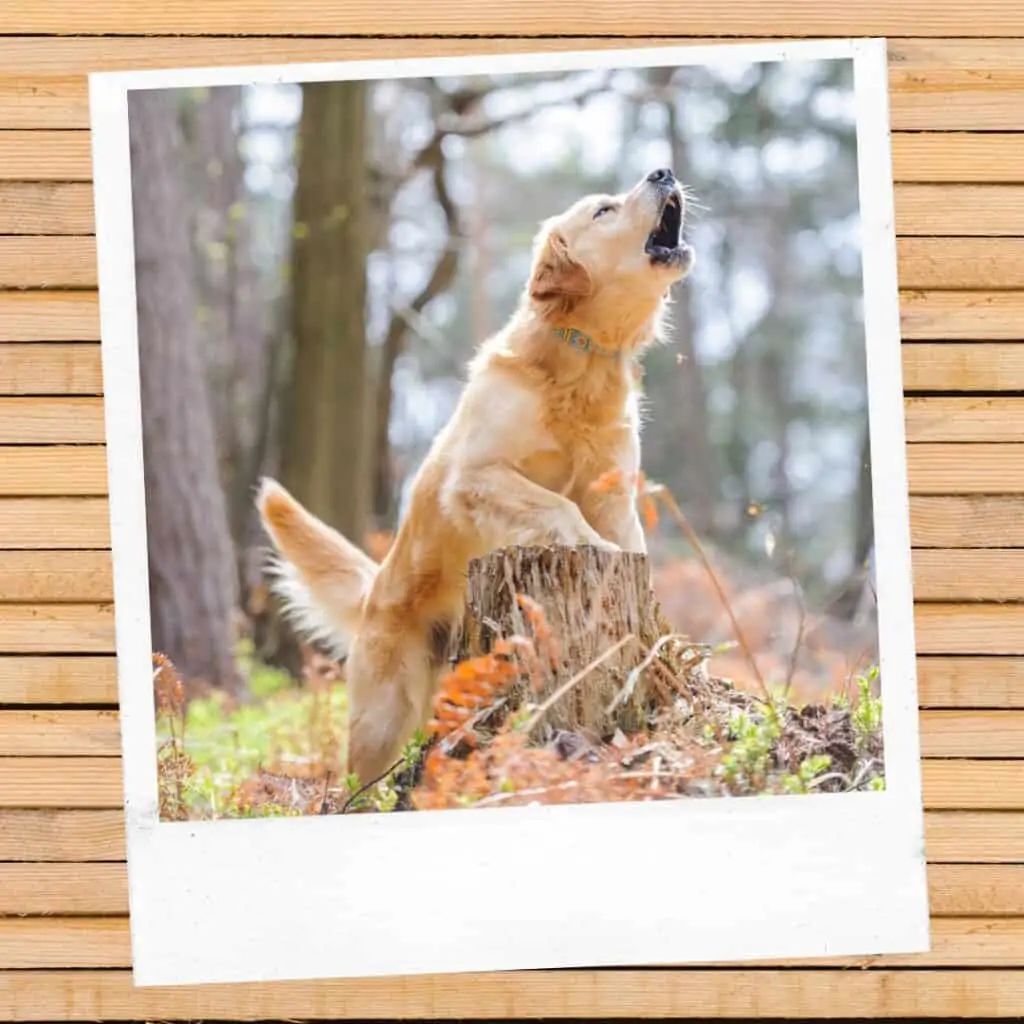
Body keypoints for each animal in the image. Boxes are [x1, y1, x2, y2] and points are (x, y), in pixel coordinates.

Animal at [258, 165, 696, 782]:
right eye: (604, 210)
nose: (663, 171)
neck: (580, 361)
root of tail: (373, 592)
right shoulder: (473, 478)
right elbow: (559, 506)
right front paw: (589, 543)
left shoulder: (613, 493)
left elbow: (629, 544)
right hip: (381, 720)